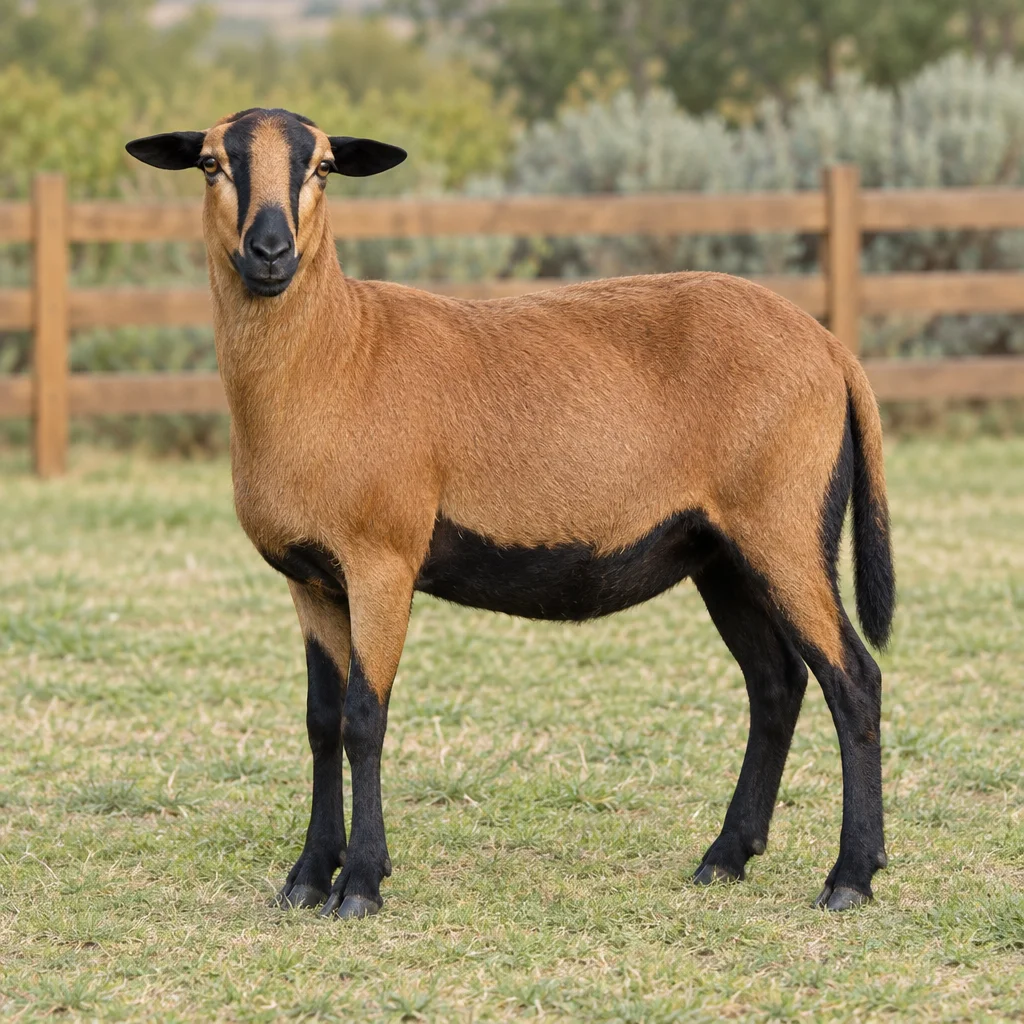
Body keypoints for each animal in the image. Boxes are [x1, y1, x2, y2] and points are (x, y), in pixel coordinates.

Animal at [126, 107, 895, 921]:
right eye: (211, 164)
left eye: (325, 167)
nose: (270, 253)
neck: (337, 353)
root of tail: (832, 350)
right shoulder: (312, 580)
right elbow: (319, 721)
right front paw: (307, 877)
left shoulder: (383, 561)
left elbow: (365, 719)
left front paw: (360, 883)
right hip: (721, 551)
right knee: (776, 685)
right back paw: (725, 857)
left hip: (785, 527)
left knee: (853, 680)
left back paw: (850, 875)